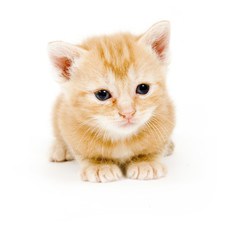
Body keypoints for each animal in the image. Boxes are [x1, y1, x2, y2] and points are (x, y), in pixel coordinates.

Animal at [48, 21, 175, 182]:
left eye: (143, 88)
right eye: (102, 95)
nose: (128, 113)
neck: (121, 138)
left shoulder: (166, 114)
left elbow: (155, 148)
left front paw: (146, 162)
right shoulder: (69, 122)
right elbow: (84, 153)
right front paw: (99, 165)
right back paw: (60, 148)